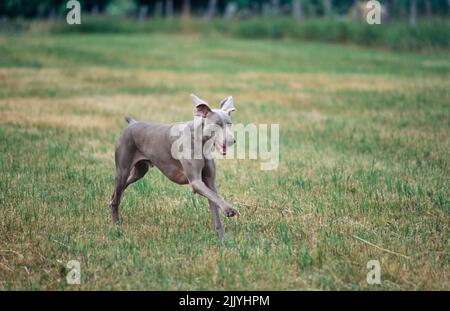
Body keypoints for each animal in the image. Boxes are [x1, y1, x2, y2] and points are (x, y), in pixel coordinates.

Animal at [109, 94, 239, 240]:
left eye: (229, 123)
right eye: (217, 124)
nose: (232, 141)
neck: (200, 141)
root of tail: (132, 123)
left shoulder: (209, 182)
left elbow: (214, 202)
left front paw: (223, 238)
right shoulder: (196, 182)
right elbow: (215, 196)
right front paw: (230, 210)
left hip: (139, 172)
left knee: (116, 193)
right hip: (123, 170)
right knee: (117, 196)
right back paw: (116, 225)